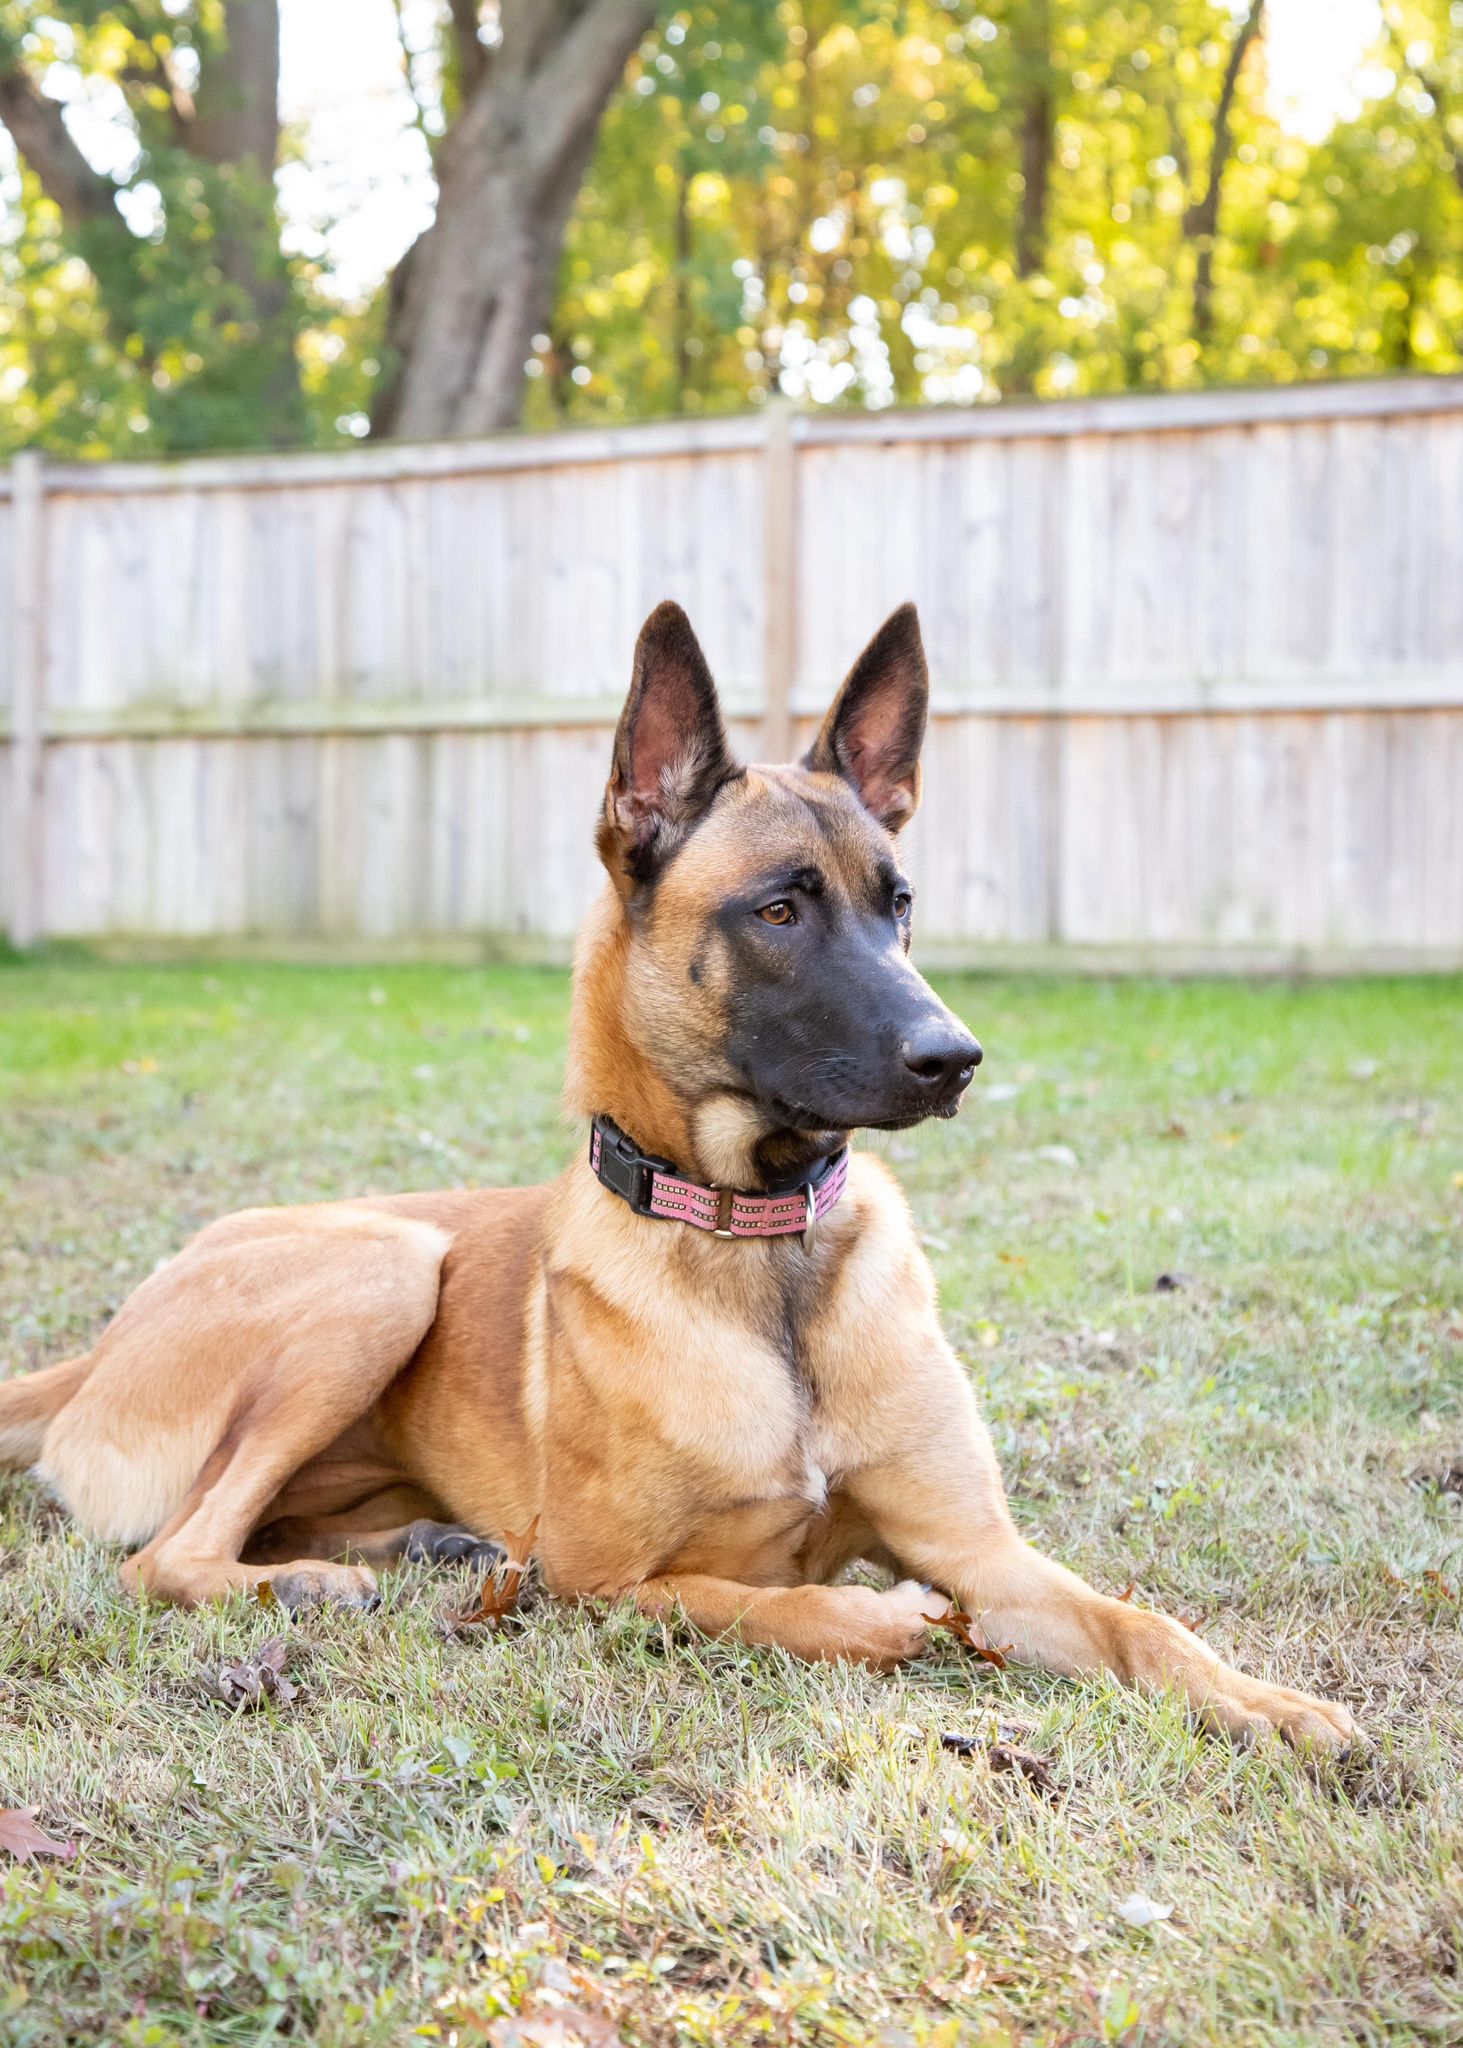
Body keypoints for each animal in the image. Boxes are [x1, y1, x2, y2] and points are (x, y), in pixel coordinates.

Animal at [0, 598, 1344, 1753]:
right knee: (167, 1554)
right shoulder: (603, 1579)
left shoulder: (982, 1549)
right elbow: (757, 1600)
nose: (954, 1057)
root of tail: (103, 1342)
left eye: (899, 903)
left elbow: (1137, 1619)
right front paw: (876, 1617)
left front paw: (1272, 1701)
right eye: (778, 912)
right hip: (384, 1263)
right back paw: (314, 1584)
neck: (764, 1243)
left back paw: (412, 1541)